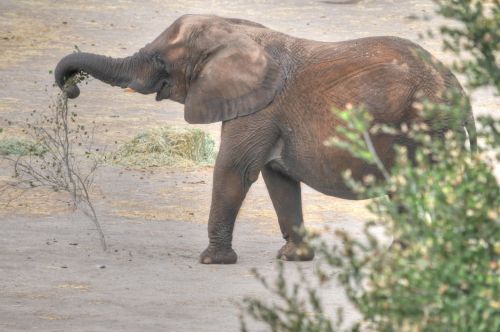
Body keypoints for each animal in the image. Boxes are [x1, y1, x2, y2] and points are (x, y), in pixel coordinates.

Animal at [55, 14, 476, 264]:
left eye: (161, 61)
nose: (70, 88)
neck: (236, 31)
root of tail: (461, 91)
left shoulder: (259, 107)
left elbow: (234, 170)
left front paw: (213, 260)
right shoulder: (266, 113)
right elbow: (279, 179)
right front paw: (293, 257)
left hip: (424, 127)